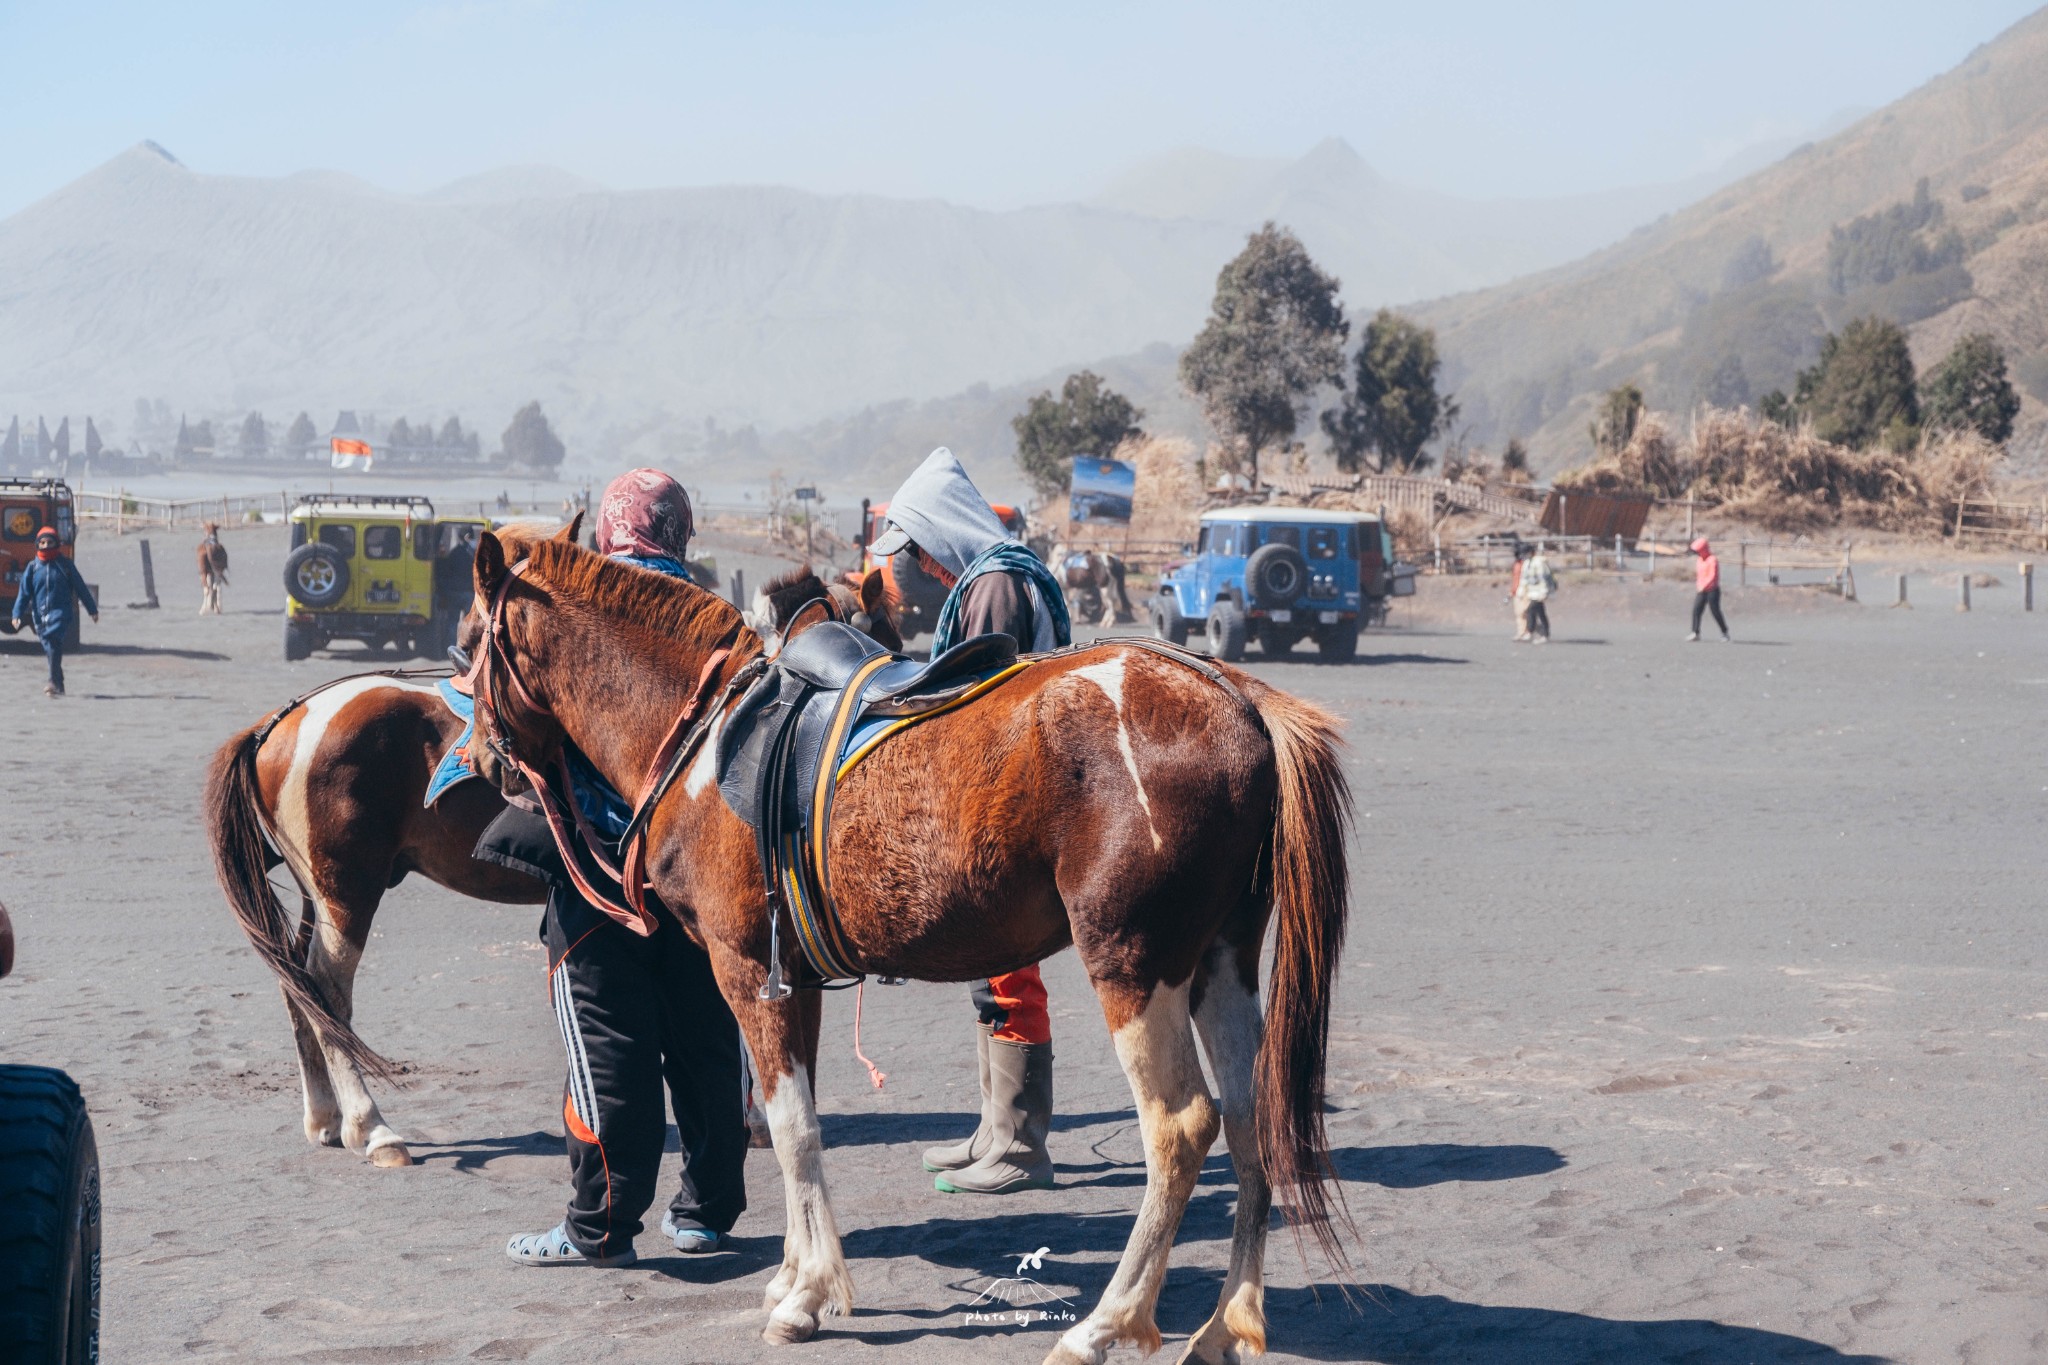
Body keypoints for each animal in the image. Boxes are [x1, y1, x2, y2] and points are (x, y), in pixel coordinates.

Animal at [205, 560, 897, 1170]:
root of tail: (284, 721)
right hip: (345, 893)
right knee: (326, 989)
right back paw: (369, 1127)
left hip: (315, 895)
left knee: (299, 987)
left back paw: (324, 1117)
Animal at [303, 532, 1351, 1365]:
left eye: (469, 641)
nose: (478, 759)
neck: (702, 735)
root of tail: (1236, 697)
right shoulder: (788, 976)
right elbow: (787, 1124)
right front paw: (795, 1278)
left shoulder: (744, 969)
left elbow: (792, 1127)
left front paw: (804, 1299)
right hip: (1216, 959)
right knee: (1251, 1120)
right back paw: (1227, 1326)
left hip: (1131, 961)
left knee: (1179, 1126)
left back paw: (1104, 1325)